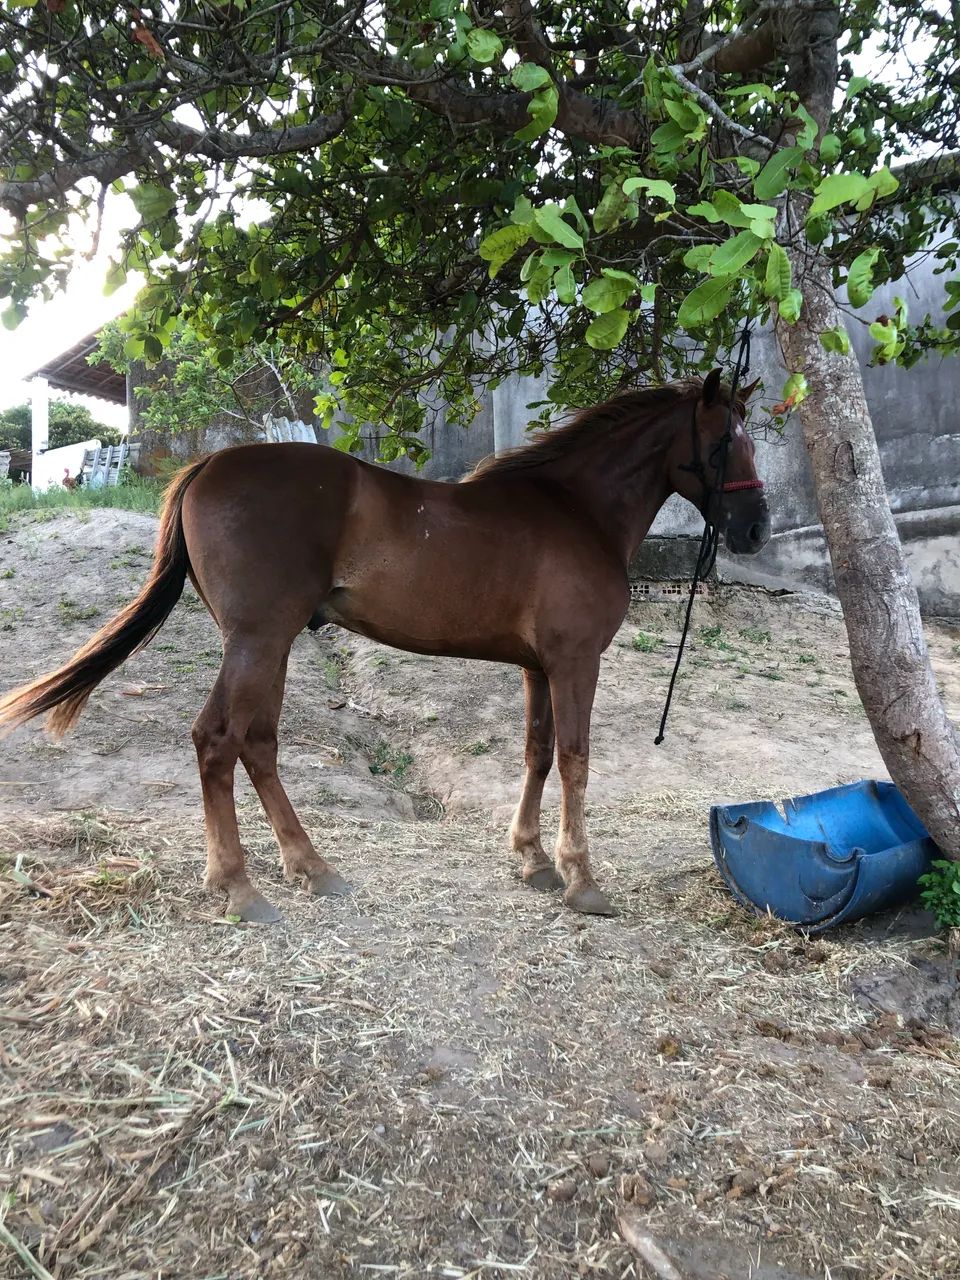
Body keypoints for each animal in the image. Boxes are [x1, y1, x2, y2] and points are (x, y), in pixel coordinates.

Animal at [0, 371, 770, 922]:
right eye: (725, 441)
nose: (756, 528)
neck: (575, 509)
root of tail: (209, 465)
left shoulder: (537, 668)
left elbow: (539, 754)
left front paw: (532, 861)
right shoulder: (575, 662)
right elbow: (577, 761)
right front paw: (583, 880)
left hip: (263, 646)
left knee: (249, 743)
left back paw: (304, 869)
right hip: (259, 642)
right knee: (222, 740)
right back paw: (246, 889)